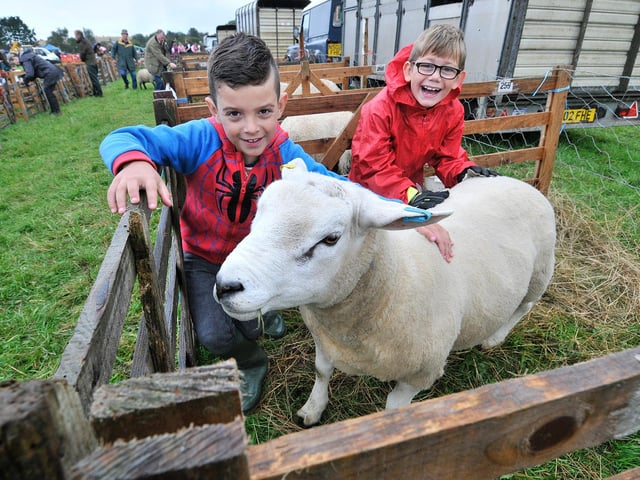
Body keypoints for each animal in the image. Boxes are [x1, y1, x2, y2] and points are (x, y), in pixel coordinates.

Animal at [214, 159, 556, 425]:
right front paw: (312, 410)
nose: (225, 285)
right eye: (258, 213)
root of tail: (518, 183)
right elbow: (321, 371)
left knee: (524, 307)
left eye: (330, 238)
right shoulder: (324, 339)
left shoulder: (421, 373)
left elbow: (394, 409)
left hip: (540, 272)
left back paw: (494, 338)